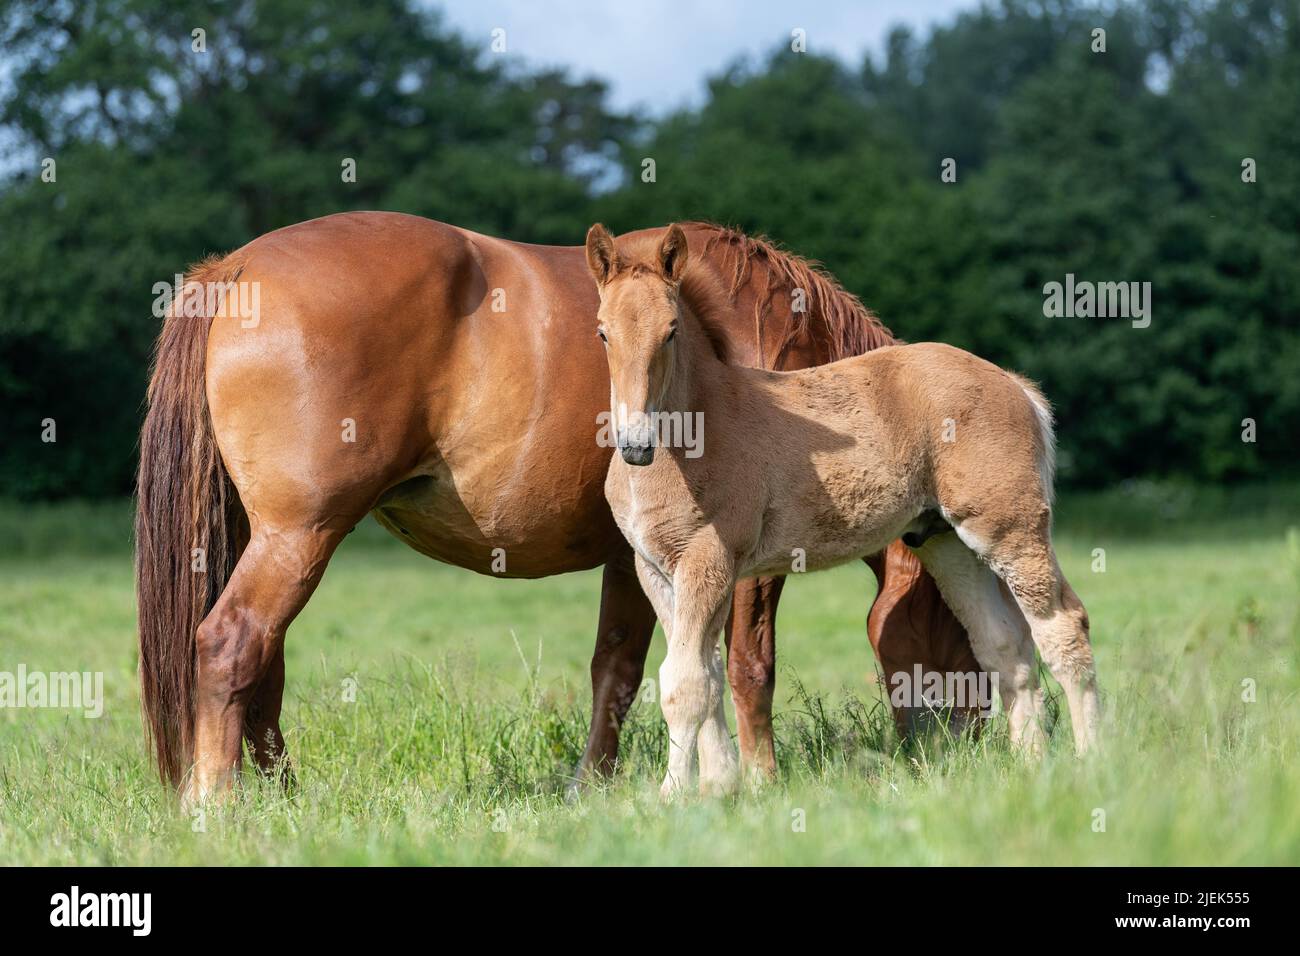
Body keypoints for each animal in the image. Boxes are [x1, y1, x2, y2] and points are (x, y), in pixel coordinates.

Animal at [135, 210, 980, 807]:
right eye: (960, 626)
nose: (967, 748)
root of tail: (235, 268)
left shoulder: (639, 554)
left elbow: (625, 669)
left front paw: (595, 785)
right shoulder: (753, 560)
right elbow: (747, 665)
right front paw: (761, 781)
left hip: (268, 536)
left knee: (262, 665)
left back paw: (283, 798)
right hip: (299, 535)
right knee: (231, 645)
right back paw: (218, 806)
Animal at [586, 223, 1101, 797]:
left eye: (672, 331)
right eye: (603, 333)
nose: (635, 444)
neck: (695, 432)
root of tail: (1016, 385)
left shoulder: (708, 562)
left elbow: (687, 684)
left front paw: (676, 797)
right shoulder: (657, 570)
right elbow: (704, 673)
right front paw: (717, 788)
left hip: (1009, 529)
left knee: (1063, 627)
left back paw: (1092, 762)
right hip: (948, 542)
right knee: (1004, 645)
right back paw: (1033, 769)